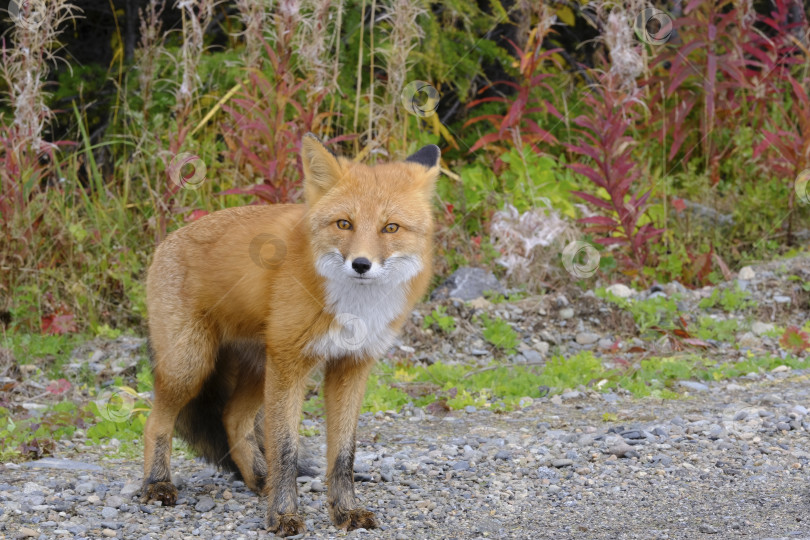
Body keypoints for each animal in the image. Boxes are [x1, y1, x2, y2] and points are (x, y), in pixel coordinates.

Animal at [142, 135, 438, 536]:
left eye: (390, 228)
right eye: (344, 224)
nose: (361, 264)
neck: (354, 306)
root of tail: (166, 241)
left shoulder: (351, 366)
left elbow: (343, 455)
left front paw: (345, 512)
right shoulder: (290, 363)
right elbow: (285, 448)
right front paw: (282, 516)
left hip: (255, 368)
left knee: (233, 419)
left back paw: (258, 480)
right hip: (191, 366)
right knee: (155, 420)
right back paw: (157, 483)